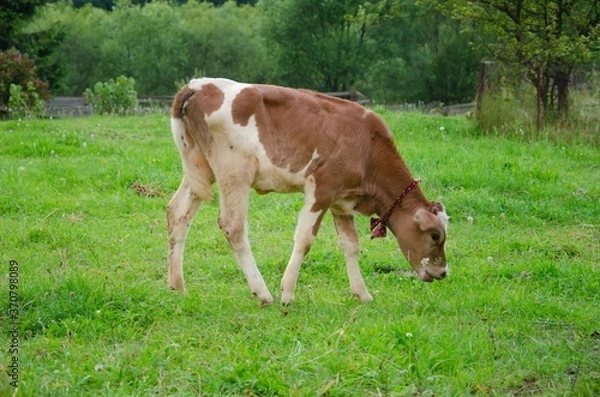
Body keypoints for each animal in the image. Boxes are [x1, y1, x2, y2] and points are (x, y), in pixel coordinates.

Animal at [166, 78, 448, 304]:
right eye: (435, 235)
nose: (443, 272)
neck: (367, 147)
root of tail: (198, 85)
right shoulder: (320, 189)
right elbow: (304, 240)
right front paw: (287, 293)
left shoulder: (341, 201)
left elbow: (351, 245)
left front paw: (362, 294)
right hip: (234, 172)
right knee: (232, 226)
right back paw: (262, 293)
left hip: (200, 170)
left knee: (177, 214)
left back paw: (177, 286)